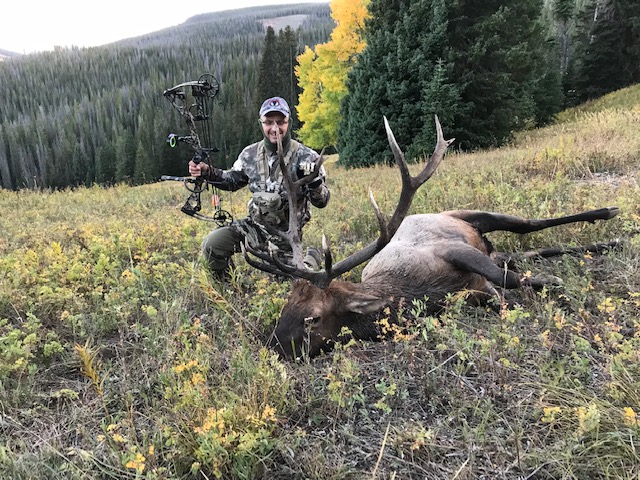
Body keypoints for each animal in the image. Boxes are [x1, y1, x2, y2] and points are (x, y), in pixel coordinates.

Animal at [244, 116, 620, 358]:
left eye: (313, 318)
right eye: (286, 308)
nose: (272, 348)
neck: (417, 294)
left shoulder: (450, 249)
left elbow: (507, 280)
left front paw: (552, 283)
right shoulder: (471, 292)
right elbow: (500, 289)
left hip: (467, 216)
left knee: (527, 226)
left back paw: (607, 215)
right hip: (495, 247)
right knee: (524, 254)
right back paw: (605, 242)